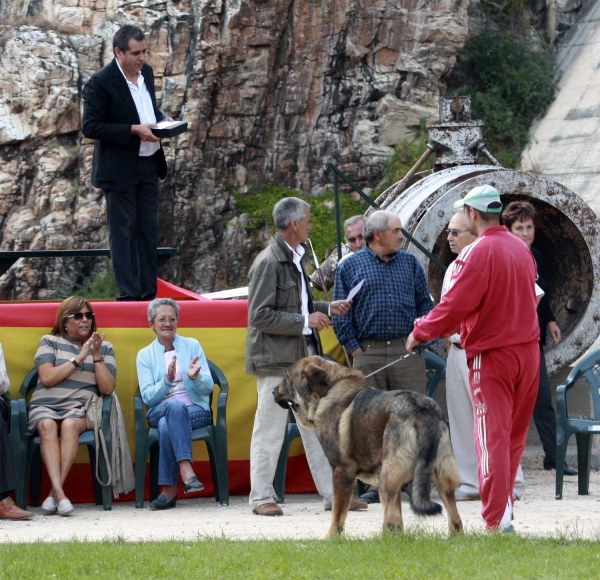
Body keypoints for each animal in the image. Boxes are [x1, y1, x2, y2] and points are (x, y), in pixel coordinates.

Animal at [274, 356, 462, 536]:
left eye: (288, 377)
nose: (273, 391)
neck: (328, 391)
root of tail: (420, 409)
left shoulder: (342, 472)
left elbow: (338, 514)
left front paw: (332, 537)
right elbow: (398, 519)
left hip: (388, 478)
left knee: (389, 519)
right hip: (439, 475)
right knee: (455, 519)